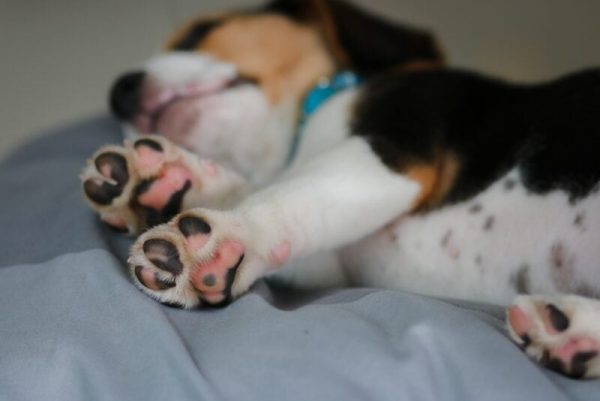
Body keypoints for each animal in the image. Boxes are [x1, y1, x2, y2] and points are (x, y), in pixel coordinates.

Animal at [79, 0, 600, 378]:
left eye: (198, 32)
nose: (118, 92)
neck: (308, 118)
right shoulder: (333, 259)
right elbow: (274, 194)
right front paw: (164, 183)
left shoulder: (389, 153)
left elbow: (284, 194)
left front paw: (220, 238)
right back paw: (571, 336)